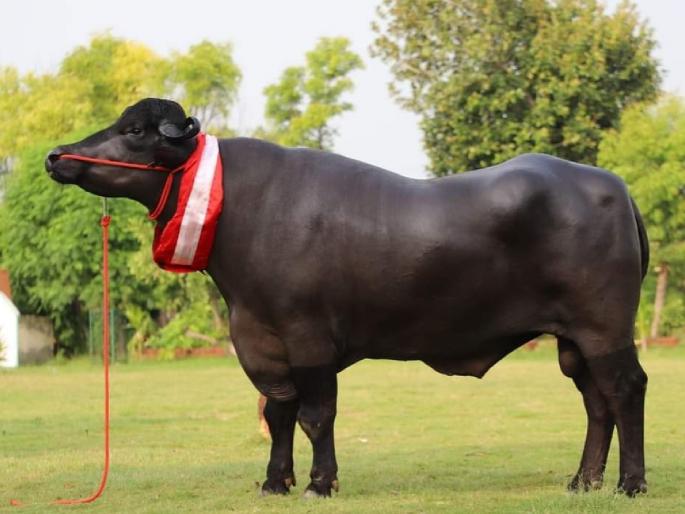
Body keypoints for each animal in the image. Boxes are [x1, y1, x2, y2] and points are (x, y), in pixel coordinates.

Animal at [46, 98, 649, 498]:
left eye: (134, 130)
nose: (57, 156)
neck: (245, 213)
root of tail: (613, 186)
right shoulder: (262, 341)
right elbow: (279, 411)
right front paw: (275, 481)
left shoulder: (308, 336)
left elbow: (316, 415)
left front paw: (320, 482)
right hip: (574, 342)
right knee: (596, 402)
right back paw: (583, 480)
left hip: (606, 329)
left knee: (626, 391)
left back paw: (630, 483)